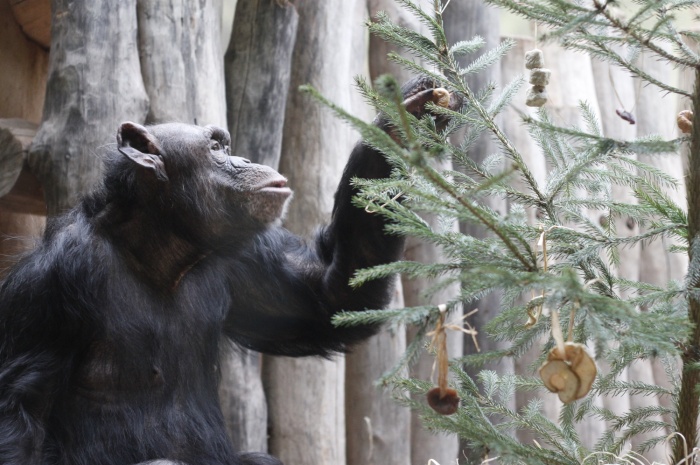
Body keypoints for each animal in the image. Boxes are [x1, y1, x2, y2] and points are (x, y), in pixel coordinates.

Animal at [0, 78, 456, 462]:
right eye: (217, 149)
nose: (244, 156)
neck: (159, 252)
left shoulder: (243, 258)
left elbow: (328, 299)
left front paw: (400, 125)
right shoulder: (52, 282)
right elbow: (20, 412)